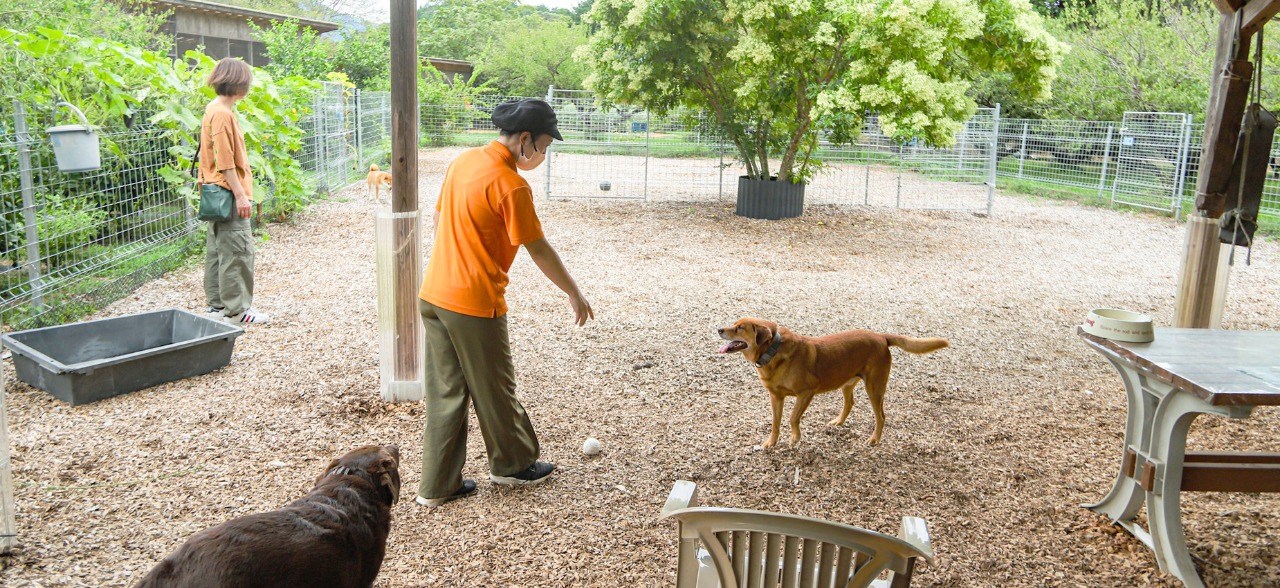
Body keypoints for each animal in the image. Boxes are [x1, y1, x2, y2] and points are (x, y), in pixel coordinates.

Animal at [721, 320, 952, 448]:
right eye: (735, 323)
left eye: (740, 328)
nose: (719, 329)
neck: (773, 351)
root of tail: (881, 337)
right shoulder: (776, 397)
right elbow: (775, 422)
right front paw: (771, 442)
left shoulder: (807, 392)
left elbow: (793, 417)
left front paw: (795, 438)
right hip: (847, 382)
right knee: (850, 403)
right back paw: (839, 422)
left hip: (875, 388)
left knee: (881, 416)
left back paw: (874, 439)